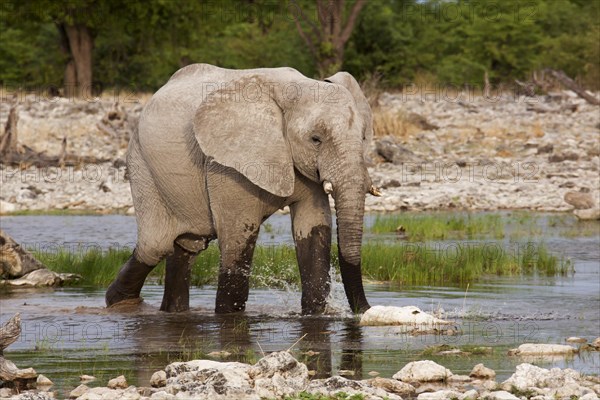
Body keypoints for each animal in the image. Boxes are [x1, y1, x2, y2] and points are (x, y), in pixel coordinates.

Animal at [106, 64, 380, 316]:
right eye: (316, 139)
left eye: (363, 138)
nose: (365, 310)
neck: (296, 89)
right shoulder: (226, 165)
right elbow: (239, 233)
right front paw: (229, 317)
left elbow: (313, 228)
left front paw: (316, 314)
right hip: (141, 163)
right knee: (155, 246)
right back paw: (121, 304)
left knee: (186, 246)